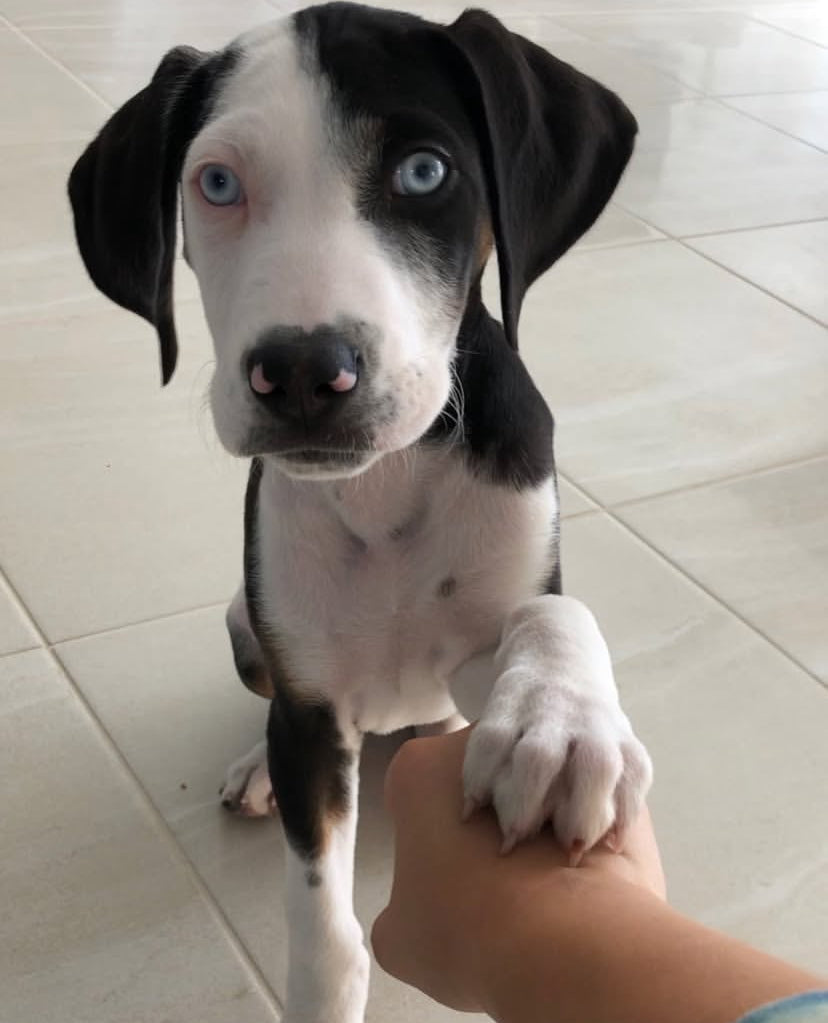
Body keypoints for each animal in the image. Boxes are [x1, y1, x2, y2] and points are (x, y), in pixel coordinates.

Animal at [69, 3, 650, 1018]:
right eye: (217, 184)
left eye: (425, 172)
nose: (303, 372)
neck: (384, 483)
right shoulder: (312, 708)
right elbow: (326, 928)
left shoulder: (480, 628)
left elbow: (553, 610)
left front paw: (562, 722)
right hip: (249, 631)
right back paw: (256, 766)